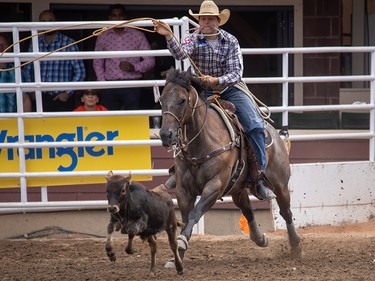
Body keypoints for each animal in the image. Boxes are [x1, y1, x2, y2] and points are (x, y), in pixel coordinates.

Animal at [160, 68, 304, 260]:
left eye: (182, 100)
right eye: (161, 99)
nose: (165, 135)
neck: (203, 141)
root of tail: (276, 133)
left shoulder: (214, 186)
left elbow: (195, 214)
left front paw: (182, 243)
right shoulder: (184, 190)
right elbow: (185, 219)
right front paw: (178, 256)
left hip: (280, 184)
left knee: (286, 212)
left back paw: (296, 246)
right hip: (238, 188)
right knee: (248, 209)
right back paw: (260, 239)